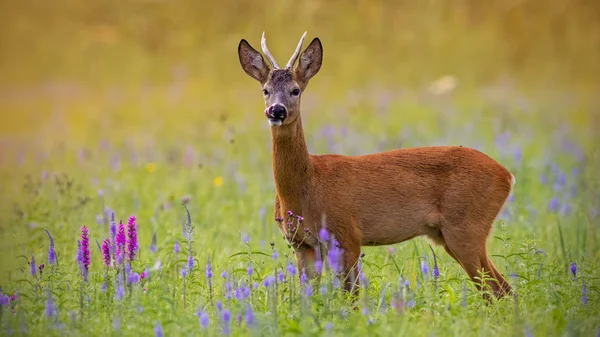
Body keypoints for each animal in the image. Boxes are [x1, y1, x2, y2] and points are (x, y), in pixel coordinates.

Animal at [239, 32, 516, 300]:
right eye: (265, 90)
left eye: (295, 90)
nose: (276, 111)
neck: (307, 185)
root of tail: (507, 175)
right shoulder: (302, 245)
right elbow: (308, 297)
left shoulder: (347, 235)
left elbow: (351, 298)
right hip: (450, 234)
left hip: (466, 227)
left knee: (502, 290)